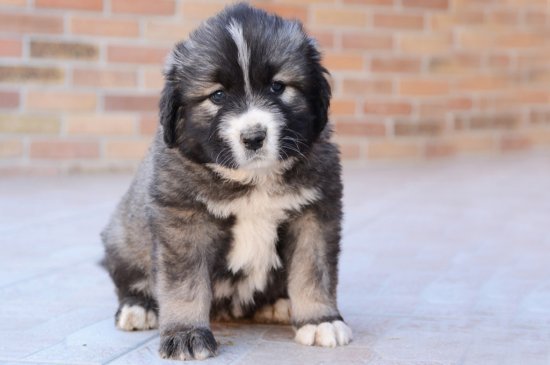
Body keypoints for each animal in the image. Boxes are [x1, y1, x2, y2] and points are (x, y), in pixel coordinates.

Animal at [101, 2, 354, 360]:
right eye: (217, 95)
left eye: (278, 87)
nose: (254, 137)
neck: (252, 178)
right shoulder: (183, 221)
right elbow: (184, 285)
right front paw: (185, 334)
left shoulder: (314, 213)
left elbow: (312, 271)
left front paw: (321, 321)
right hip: (123, 238)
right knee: (129, 279)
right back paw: (139, 307)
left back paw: (279, 303)